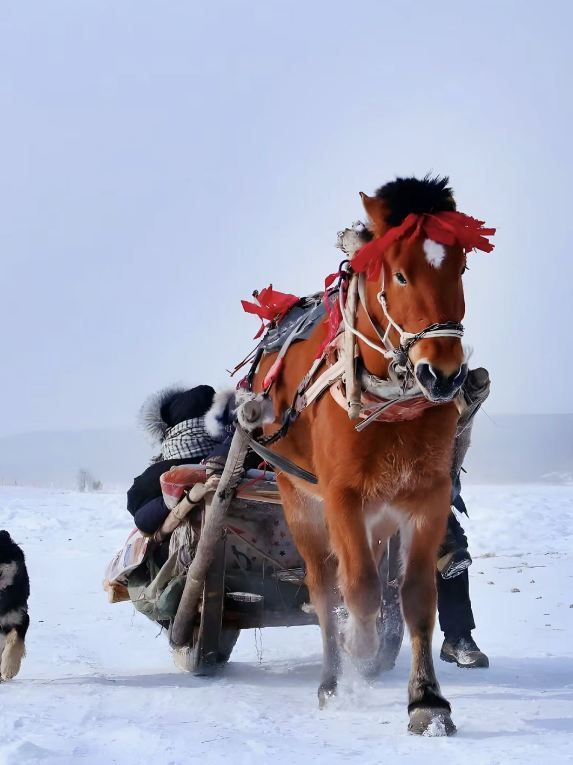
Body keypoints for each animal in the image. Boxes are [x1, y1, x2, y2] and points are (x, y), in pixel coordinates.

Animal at [244, 175, 494, 736]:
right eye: (400, 274)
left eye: (461, 267)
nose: (444, 374)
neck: (387, 401)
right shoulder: (341, 496)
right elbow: (354, 588)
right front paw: (357, 649)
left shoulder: (428, 495)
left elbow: (416, 595)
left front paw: (428, 701)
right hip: (299, 500)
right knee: (323, 586)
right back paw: (333, 676)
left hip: (380, 512)